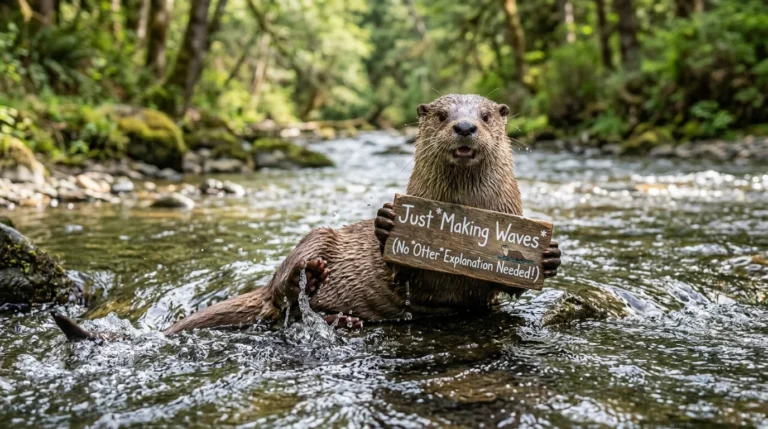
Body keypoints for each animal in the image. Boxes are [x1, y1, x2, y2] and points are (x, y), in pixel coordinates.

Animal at [54, 94, 561, 340]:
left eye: (487, 116)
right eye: (440, 115)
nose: (464, 126)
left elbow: (506, 289)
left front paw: (549, 256)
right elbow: (398, 267)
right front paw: (385, 223)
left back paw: (343, 320)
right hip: (316, 236)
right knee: (284, 295)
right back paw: (313, 281)